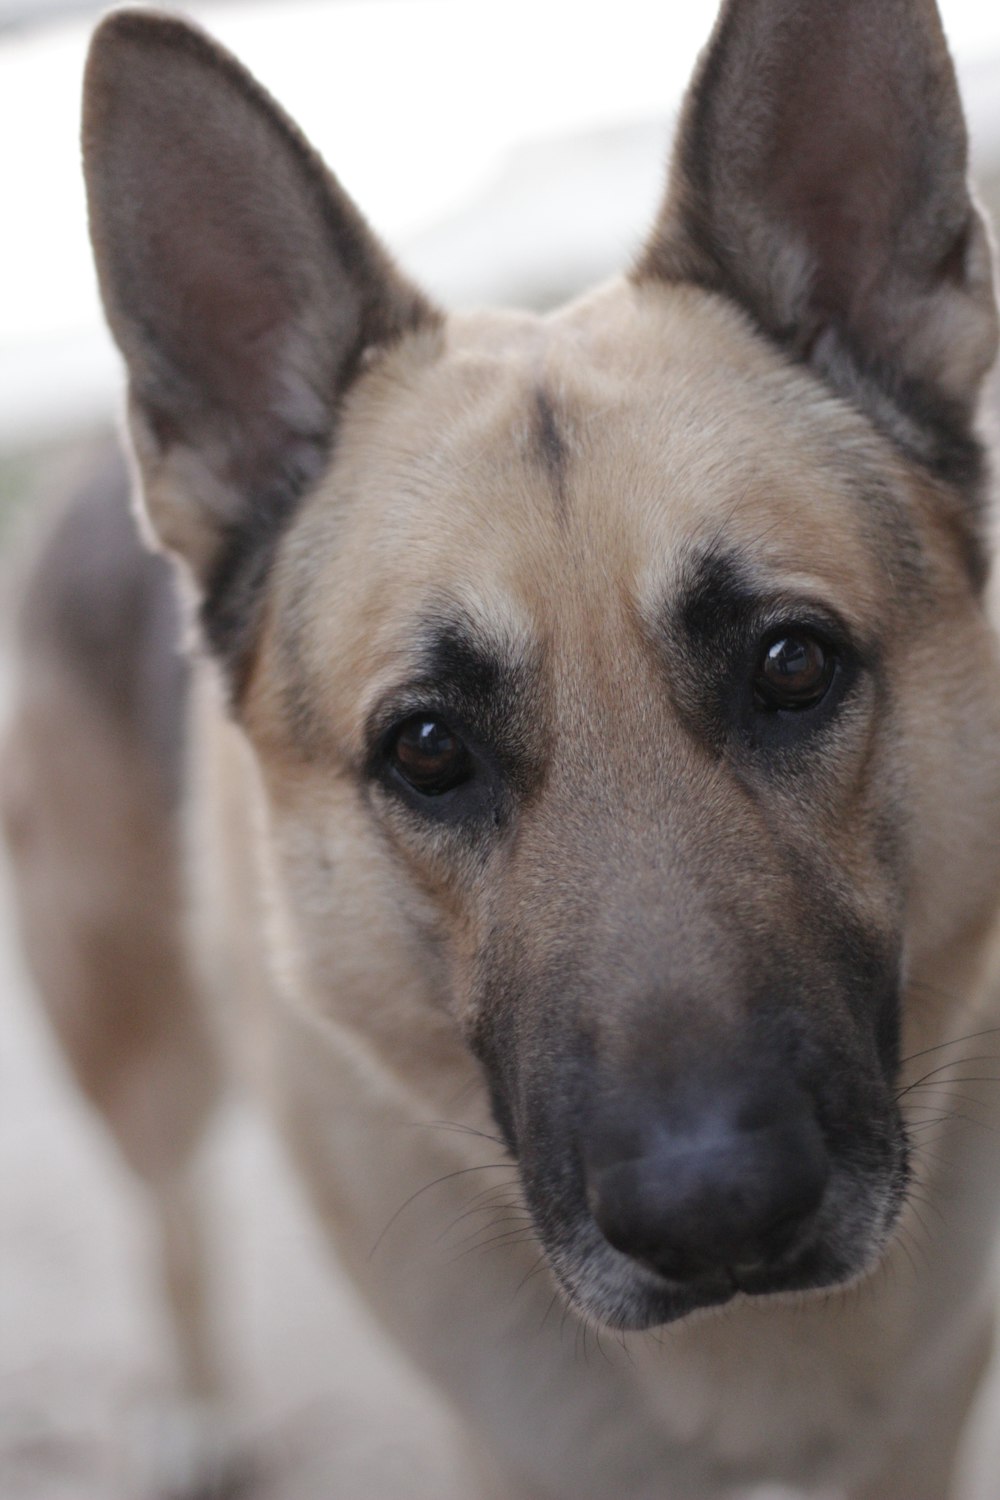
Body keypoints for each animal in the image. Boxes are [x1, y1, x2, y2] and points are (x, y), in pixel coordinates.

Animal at [5, 0, 1000, 1494]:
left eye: (792, 663)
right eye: (426, 748)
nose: (713, 1213)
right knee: (166, 1210)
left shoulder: (911, 1434)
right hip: (130, 1049)